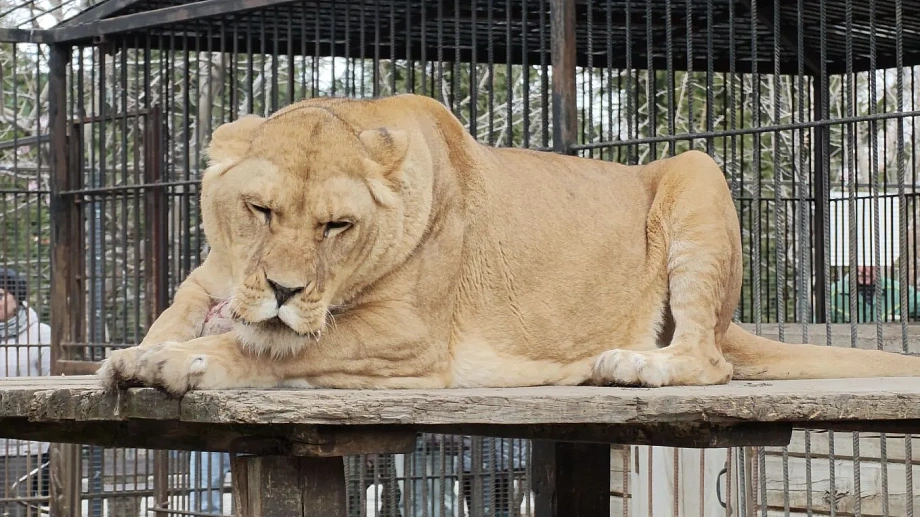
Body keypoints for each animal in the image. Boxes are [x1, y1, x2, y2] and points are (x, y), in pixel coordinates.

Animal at [97, 93, 920, 396]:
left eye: (337, 226)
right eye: (260, 210)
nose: (284, 290)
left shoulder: (408, 337)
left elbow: (271, 347)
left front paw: (177, 361)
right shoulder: (209, 284)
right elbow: (181, 314)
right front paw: (143, 349)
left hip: (698, 172)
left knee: (705, 359)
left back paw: (630, 363)